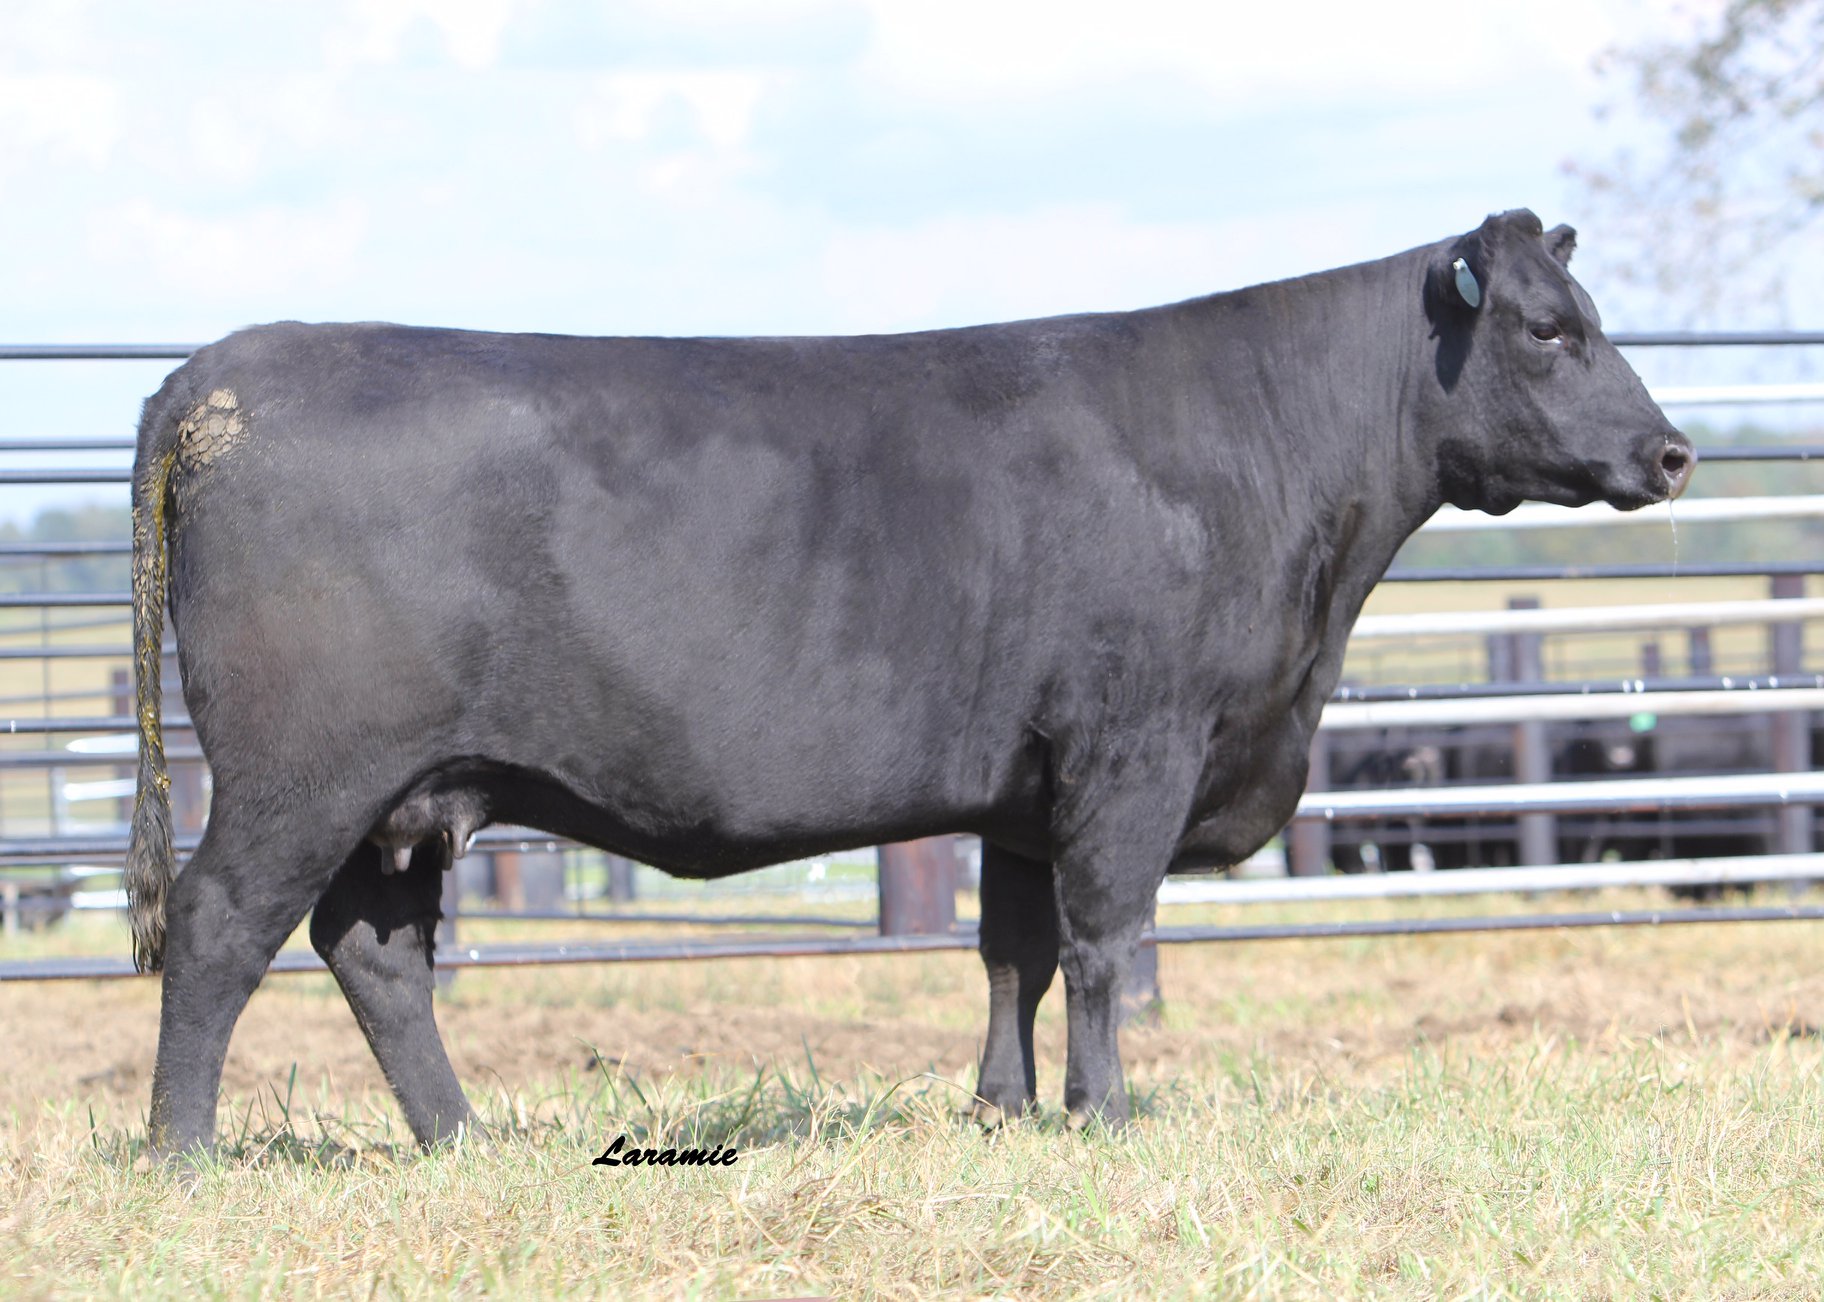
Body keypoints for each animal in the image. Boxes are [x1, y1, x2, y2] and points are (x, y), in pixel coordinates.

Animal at [126, 209, 1693, 1155]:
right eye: (1549, 328)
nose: (1673, 452)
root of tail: (218, 373)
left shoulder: (1023, 788)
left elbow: (1012, 950)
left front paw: (1005, 1110)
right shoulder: (1134, 748)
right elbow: (1105, 943)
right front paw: (1106, 1118)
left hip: (408, 791)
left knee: (377, 952)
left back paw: (461, 1141)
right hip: (298, 774)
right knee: (216, 929)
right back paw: (184, 1153)